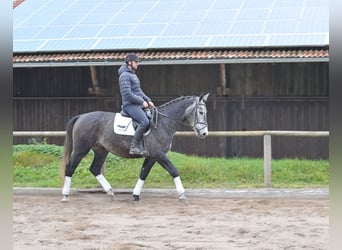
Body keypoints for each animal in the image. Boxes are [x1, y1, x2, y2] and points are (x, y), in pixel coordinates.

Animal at [59, 93, 208, 202]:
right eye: (201, 112)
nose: (204, 133)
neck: (162, 123)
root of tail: (81, 116)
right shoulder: (159, 154)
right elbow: (173, 170)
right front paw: (182, 194)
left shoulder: (152, 156)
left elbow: (143, 173)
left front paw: (136, 195)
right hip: (81, 149)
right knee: (70, 167)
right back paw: (65, 195)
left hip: (101, 150)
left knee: (94, 168)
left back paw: (110, 191)